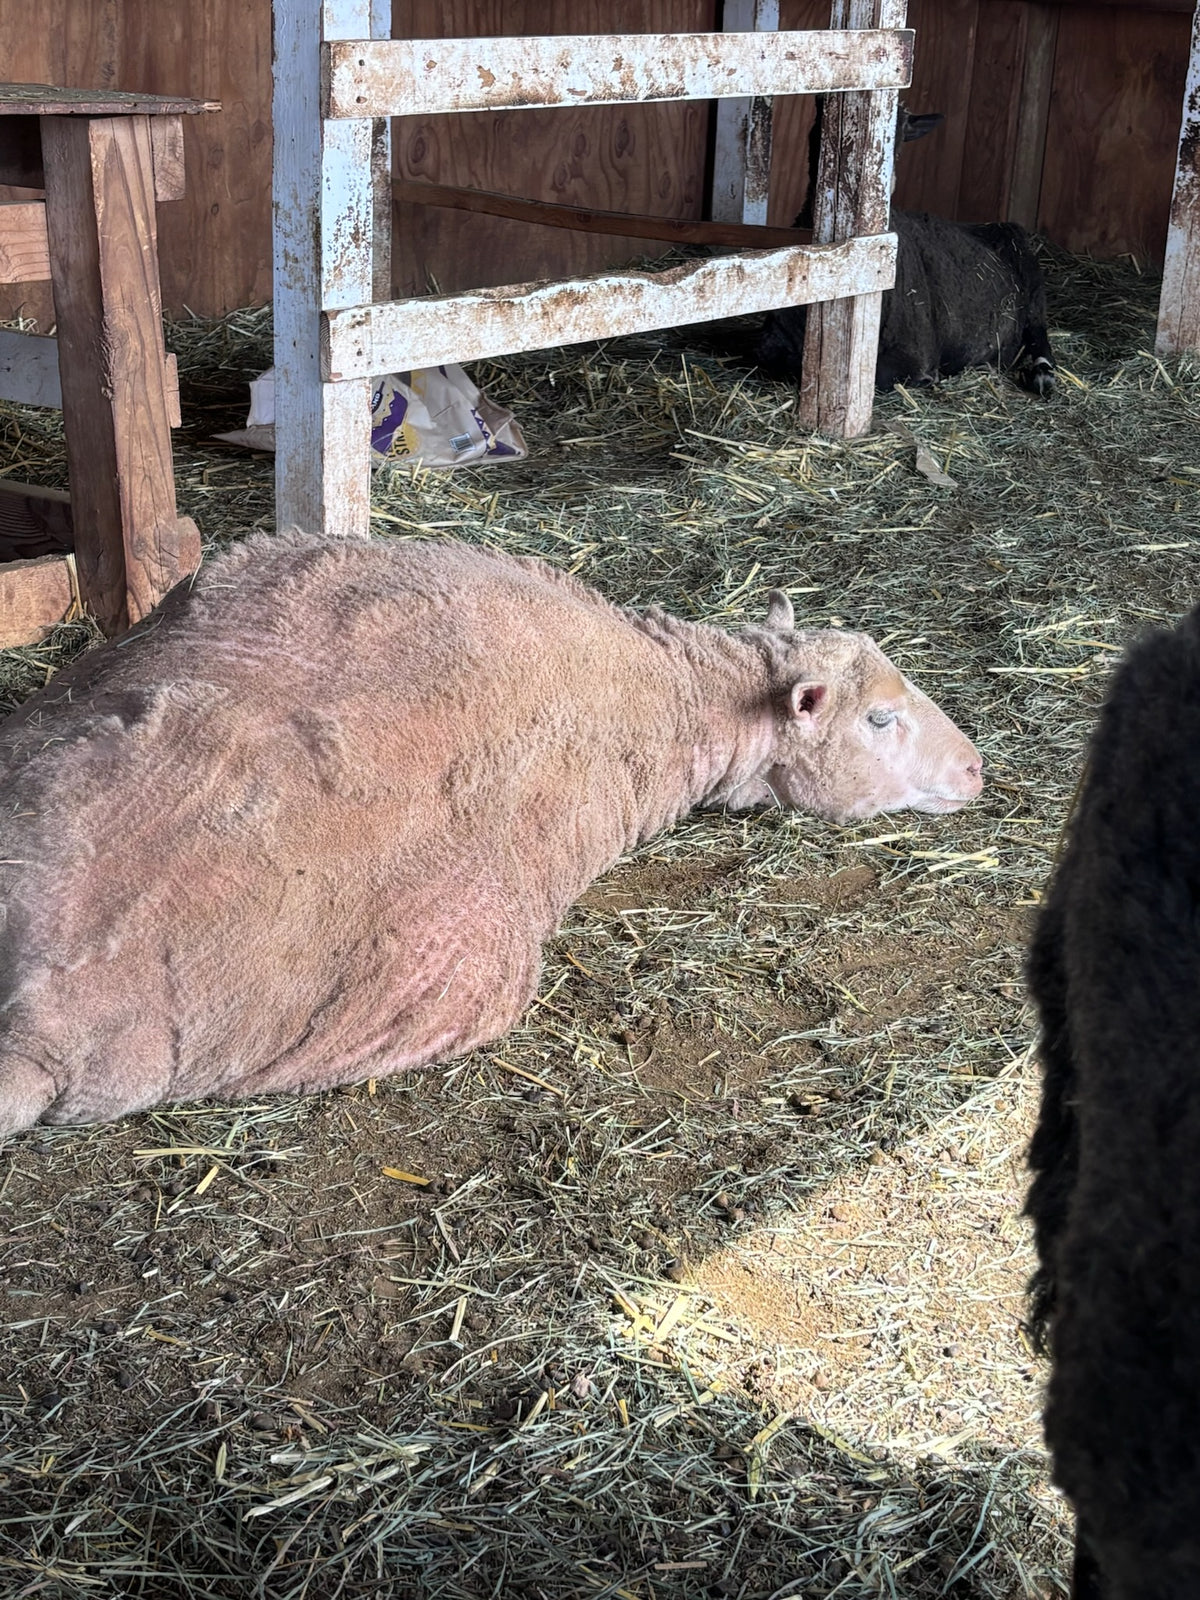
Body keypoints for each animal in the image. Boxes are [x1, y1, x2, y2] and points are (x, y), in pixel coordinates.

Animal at [755, 100, 1056, 397]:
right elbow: (777, 360)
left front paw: (930, 379)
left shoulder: (914, 352)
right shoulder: (774, 339)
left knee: (1039, 334)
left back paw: (1042, 375)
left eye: (899, 138)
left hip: (1032, 282)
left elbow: (881, 374)